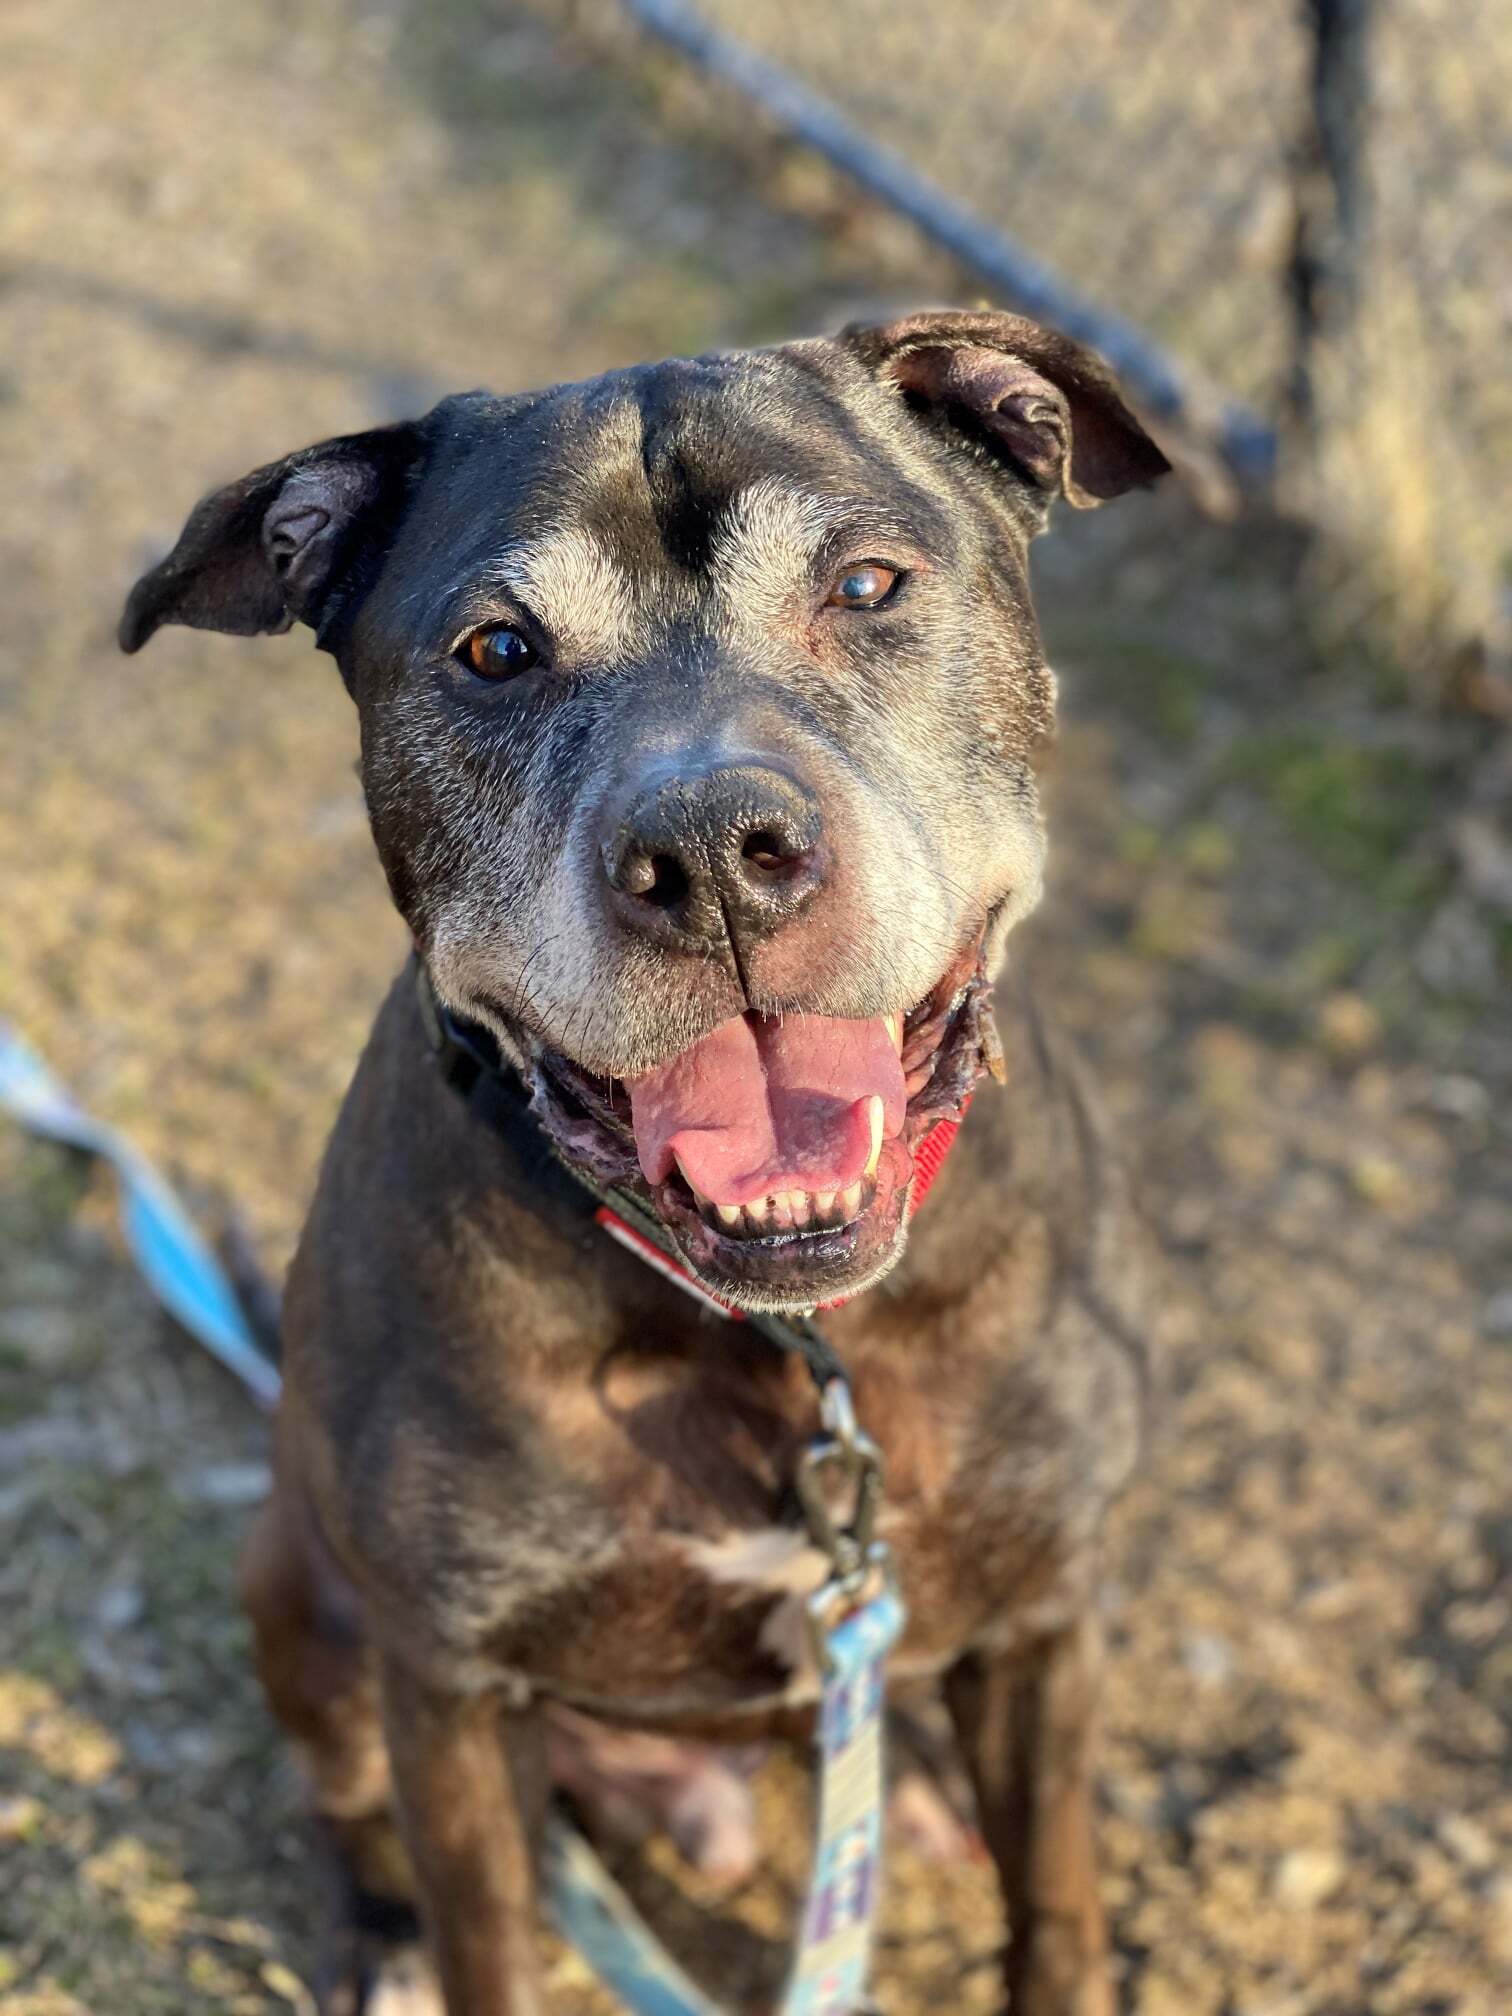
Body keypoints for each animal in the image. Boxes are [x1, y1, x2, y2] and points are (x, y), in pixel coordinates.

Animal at [124, 310, 1177, 2016]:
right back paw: (378, 1934)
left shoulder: (1047, 1614)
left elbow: (1060, 1907)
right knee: (338, 1798)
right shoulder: (453, 1684)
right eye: (495, 651)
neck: (781, 1335)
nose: (711, 857)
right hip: (301, 1601)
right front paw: (430, 1937)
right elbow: (490, 1942)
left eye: (867, 584)